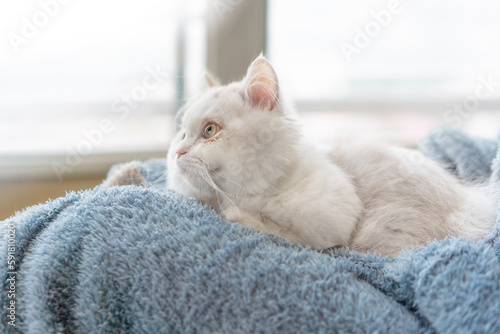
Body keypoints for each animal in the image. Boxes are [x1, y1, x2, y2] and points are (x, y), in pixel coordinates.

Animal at [108, 55, 496, 258]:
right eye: (182, 133)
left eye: (210, 131)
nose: (178, 151)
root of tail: (471, 204)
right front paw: (127, 178)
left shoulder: (333, 224)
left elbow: (282, 234)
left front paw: (240, 217)